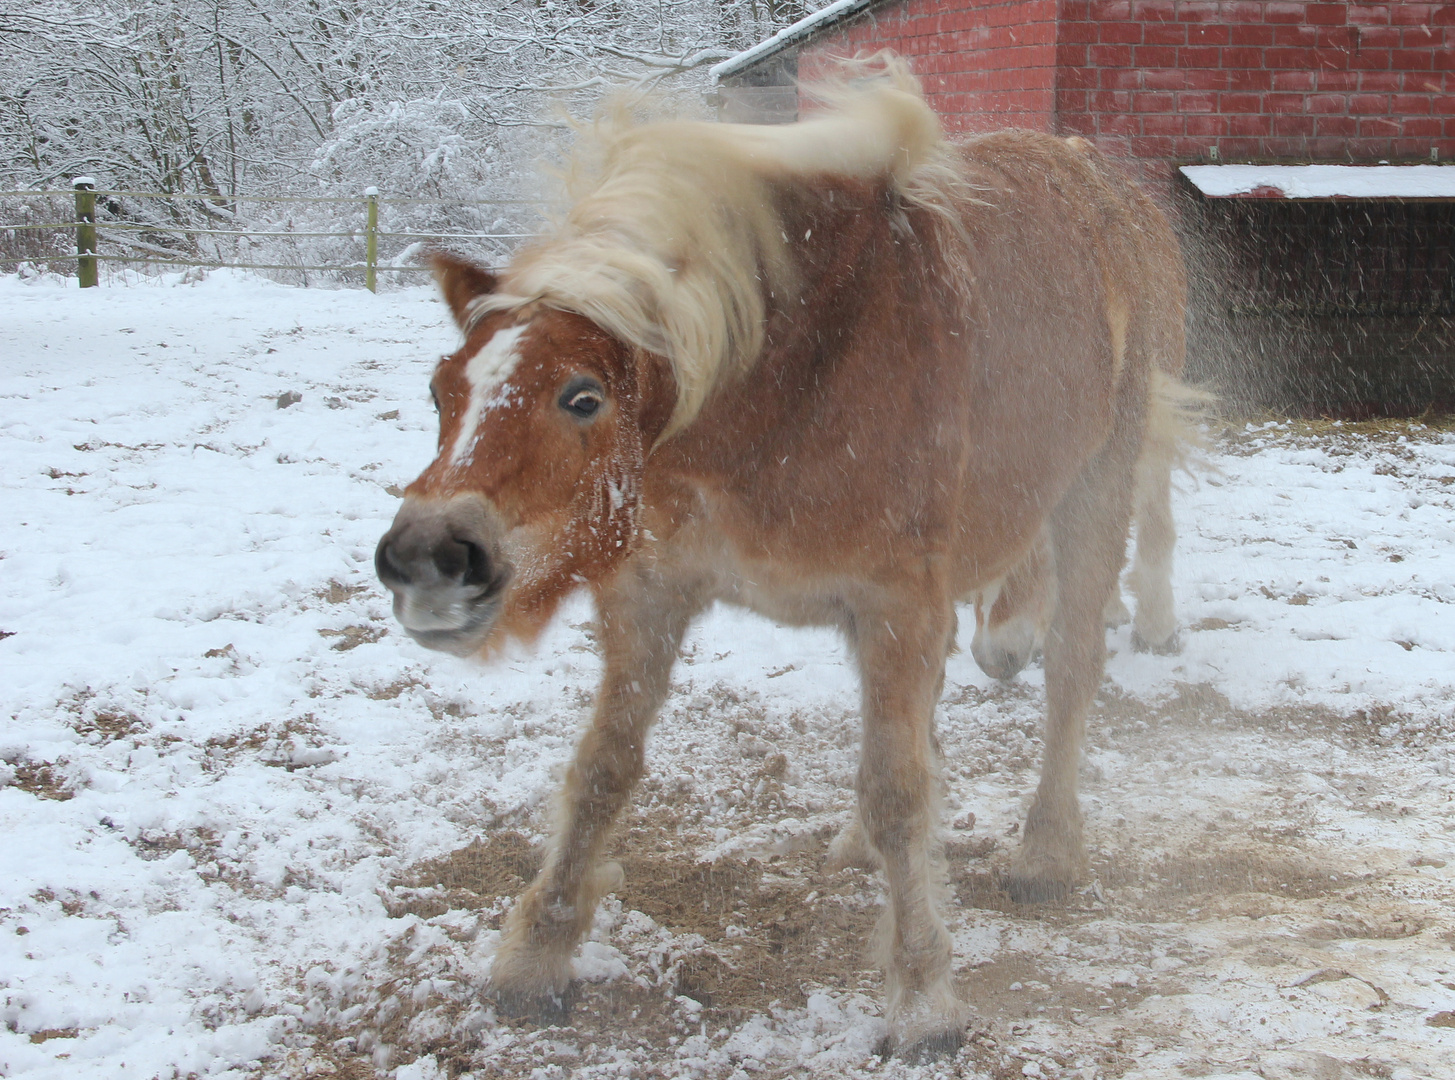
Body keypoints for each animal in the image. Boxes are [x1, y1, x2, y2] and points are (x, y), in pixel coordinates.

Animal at [378, 63, 1193, 1059]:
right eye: (441, 389)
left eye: (582, 397)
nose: (425, 558)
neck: (779, 384)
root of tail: (1099, 182)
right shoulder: (650, 593)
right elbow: (604, 768)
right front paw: (537, 953)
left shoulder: (895, 602)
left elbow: (898, 790)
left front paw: (923, 1000)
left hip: (1095, 488)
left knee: (1072, 664)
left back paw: (1046, 850)